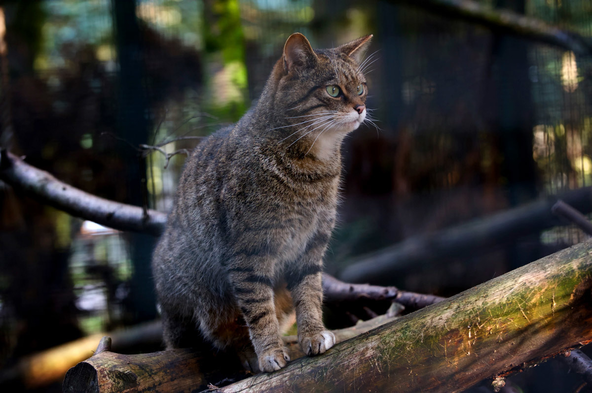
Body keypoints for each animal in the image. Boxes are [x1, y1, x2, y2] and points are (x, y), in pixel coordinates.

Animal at [153, 32, 374, 372]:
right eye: (334, 90)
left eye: (361, 88)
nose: (361, 107)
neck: (313, 169)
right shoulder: (249, 253)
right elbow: (259, 311)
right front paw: (269, 352)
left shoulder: (311, 246)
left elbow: (310, 294)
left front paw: (313, 334)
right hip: (199, 295)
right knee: (223, 334)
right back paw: (249, 353)